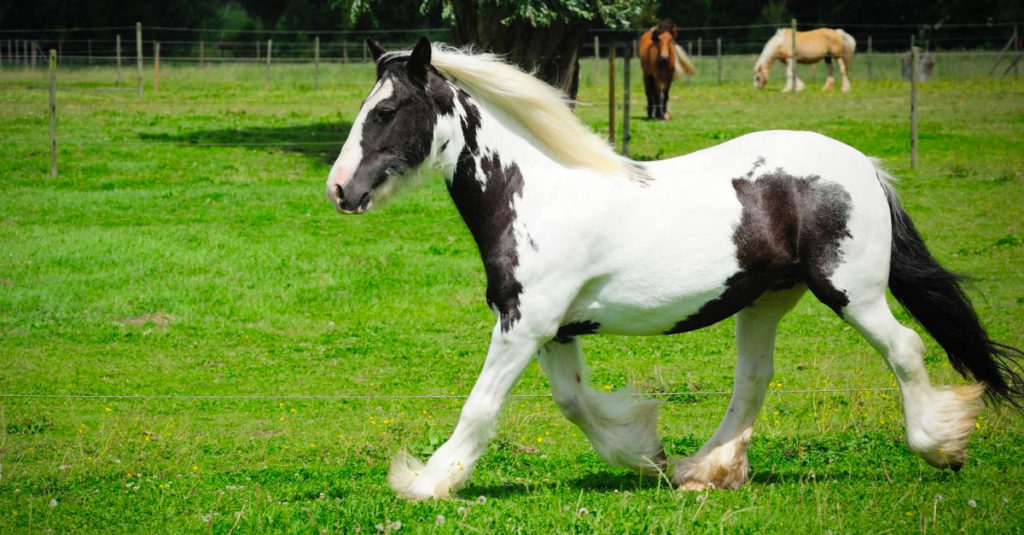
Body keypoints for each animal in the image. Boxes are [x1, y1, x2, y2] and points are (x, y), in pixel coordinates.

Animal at [326, 37, 1022, 500]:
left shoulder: (527, 325)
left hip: (853, 291)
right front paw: (645, 453)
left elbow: (481, 405)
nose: (339, 190)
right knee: (752, 380)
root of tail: (865, 167)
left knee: (904, 348)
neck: (536, 195)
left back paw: (940, 446)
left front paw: (425, 481)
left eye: (385, 111)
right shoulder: (553, 329)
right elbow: (574, 403)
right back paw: (704, 472)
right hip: (766, 299)